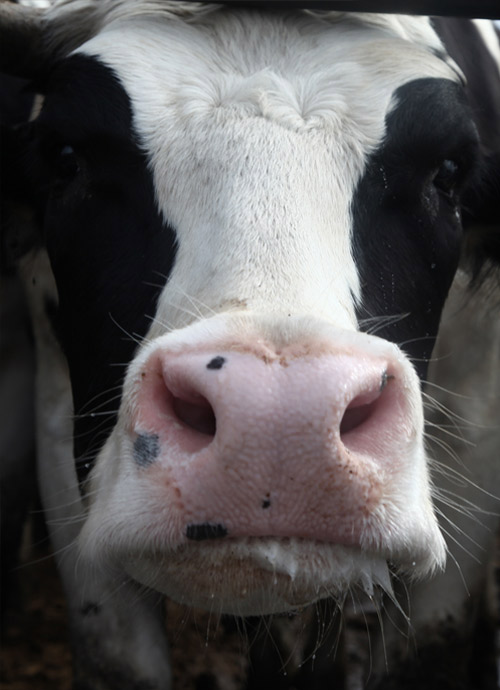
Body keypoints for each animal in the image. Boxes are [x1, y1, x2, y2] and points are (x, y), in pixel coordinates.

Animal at [0, 2, 499, 688]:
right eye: (68, 157)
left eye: (448, 172)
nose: (277, 426)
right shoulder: (61, 420)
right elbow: (118, 657)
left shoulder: (476, 417)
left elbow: (431, 646)